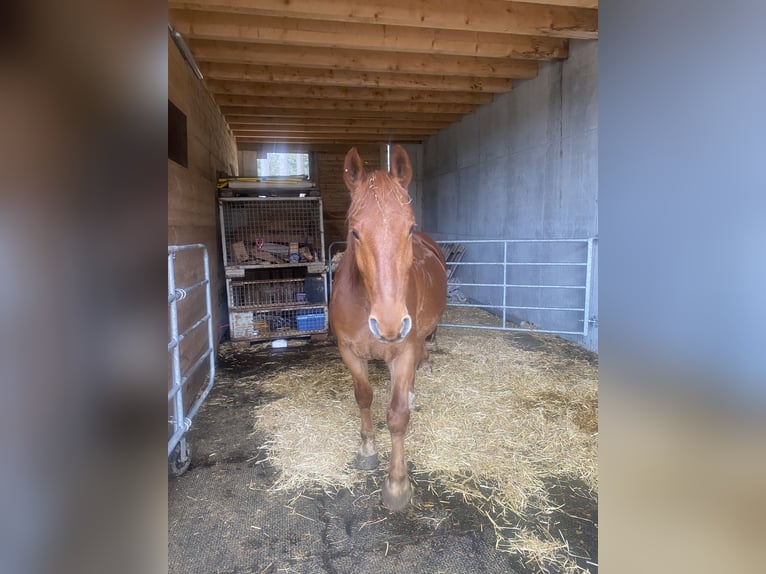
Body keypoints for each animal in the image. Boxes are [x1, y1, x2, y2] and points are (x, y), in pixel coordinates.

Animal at [332, 145, 450, 512]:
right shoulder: (349, 352)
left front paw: (397, 484)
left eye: (409, 228)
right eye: (355, 231)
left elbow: (397, 416)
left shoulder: (404, 352)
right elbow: (364, 396)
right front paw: (367, 449)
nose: (389, 324)